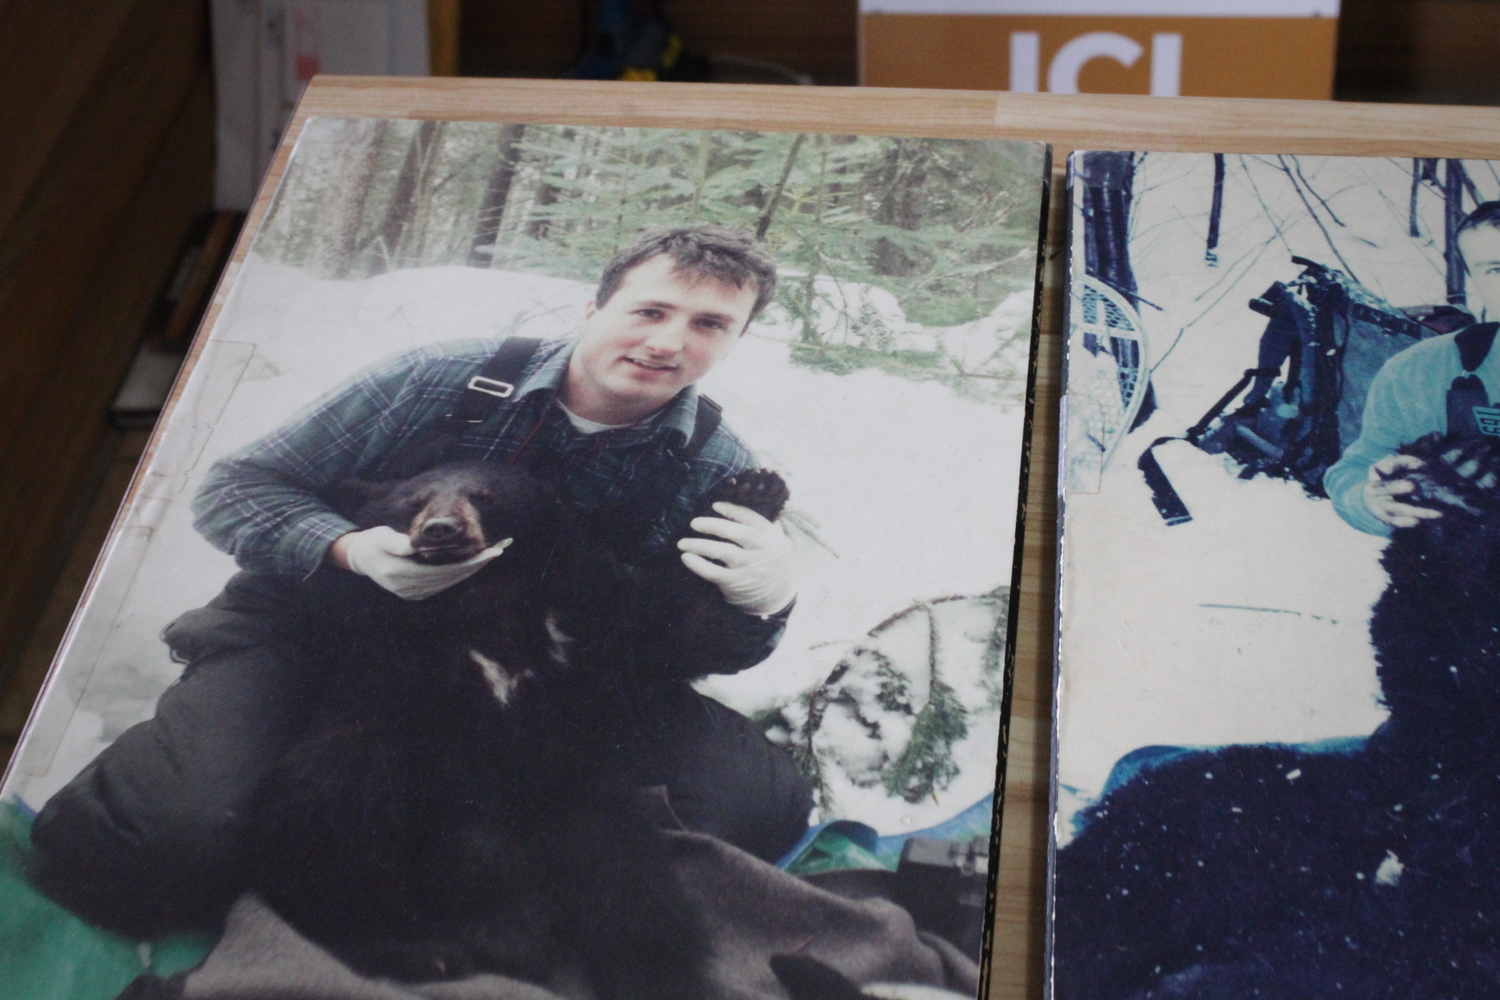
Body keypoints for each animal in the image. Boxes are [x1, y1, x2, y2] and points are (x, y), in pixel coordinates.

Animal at [243, 458, 798, 995]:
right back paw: (416, 950)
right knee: (328, 820)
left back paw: (659, 977)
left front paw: (752, 493)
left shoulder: (585, 615)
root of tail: (500, 920)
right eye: (414, 501)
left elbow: (674, 618)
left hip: (593, 821)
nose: (442, 530)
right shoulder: (384, 646)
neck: (483, 596)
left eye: (485, 496)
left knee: (637, 904)